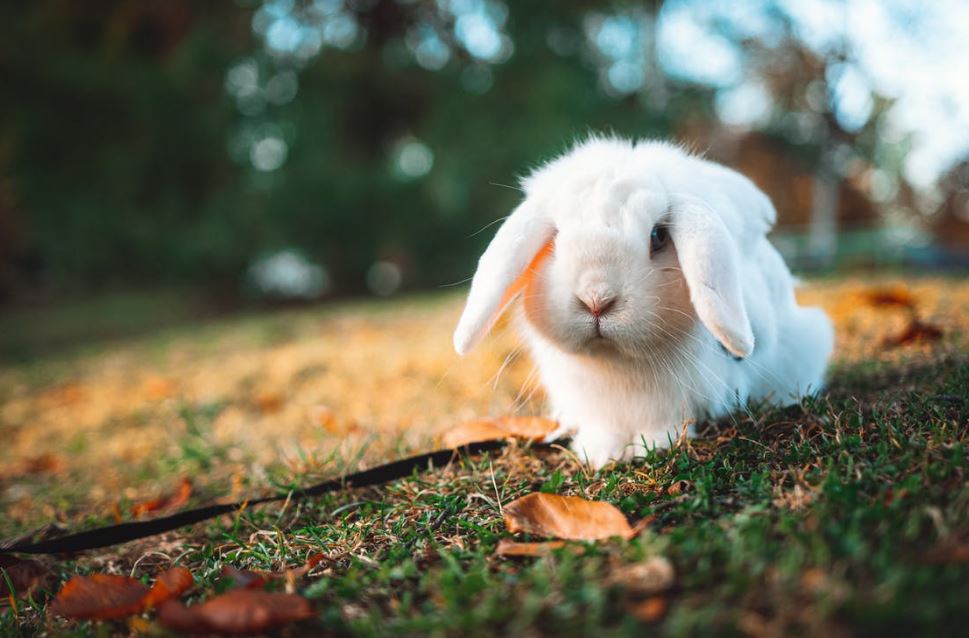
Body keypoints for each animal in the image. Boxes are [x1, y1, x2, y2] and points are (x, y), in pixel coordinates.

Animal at [452, 139, 832, 470]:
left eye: (658, 236)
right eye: (556, 238)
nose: (596, 299)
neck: (617, 366)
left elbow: (666, 421)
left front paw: (654, 446)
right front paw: (599, 453)